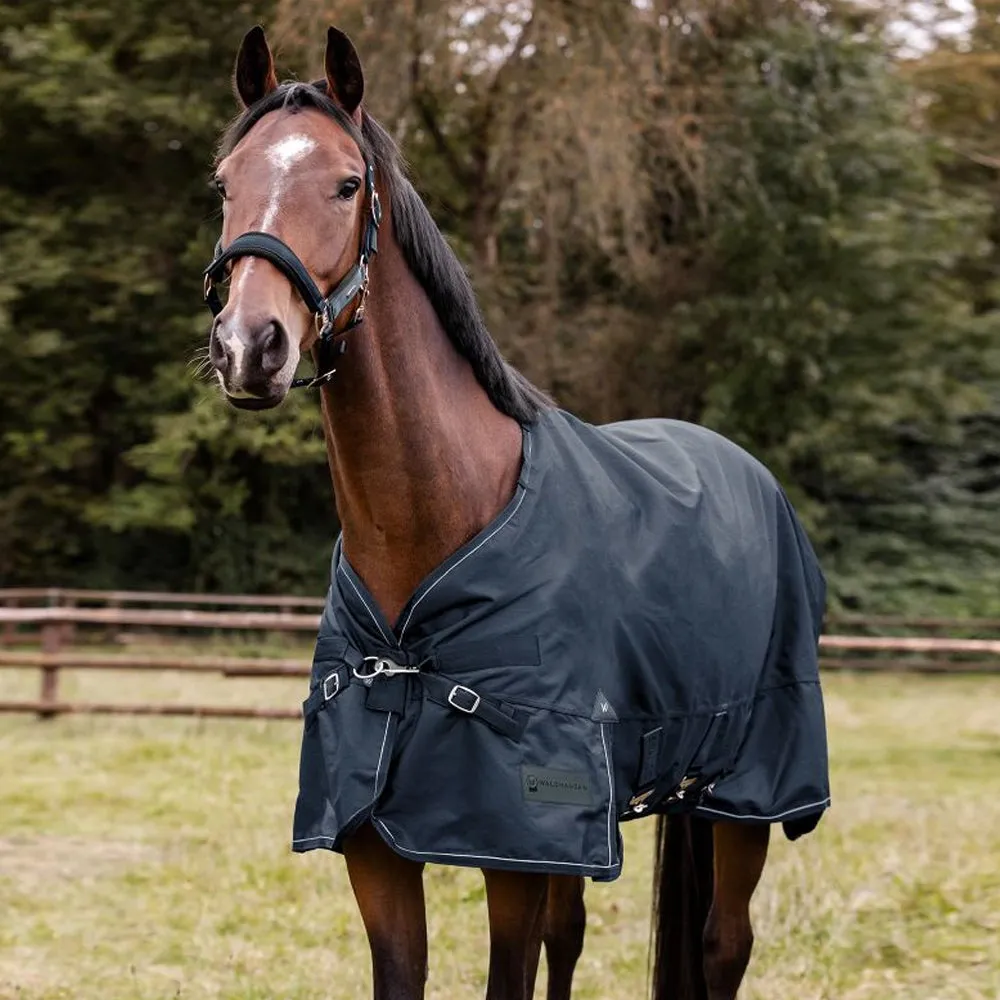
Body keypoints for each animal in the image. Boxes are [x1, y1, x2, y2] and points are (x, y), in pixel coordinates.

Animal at [202, 25, 829, 1000]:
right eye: (226, 183)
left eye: (346, 184)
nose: (249, 346)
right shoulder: (378, 845)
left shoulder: (516, 850)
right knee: (574, 937)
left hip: (745, 792)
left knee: (725, 943)